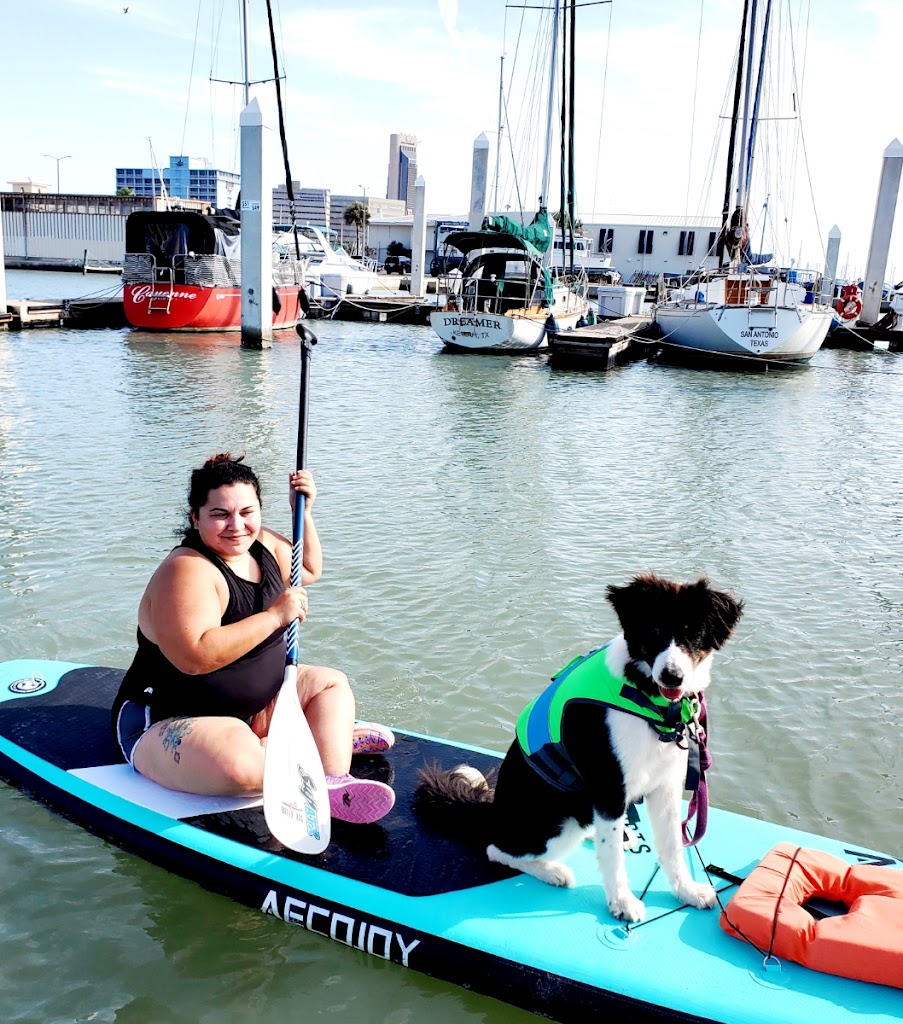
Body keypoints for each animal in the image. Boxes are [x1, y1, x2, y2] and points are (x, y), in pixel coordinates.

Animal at [414, 573, 743, 923]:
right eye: (654, 631)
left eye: (693, 634)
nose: (673, 676)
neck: (646, 697)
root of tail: (493, 812)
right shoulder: (609, 788)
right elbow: (612, 859)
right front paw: (622, 903)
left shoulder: (665, 786)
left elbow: (672, 846)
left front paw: (687, 891)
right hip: (556, 824)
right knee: (497, 850)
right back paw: (553, 871)